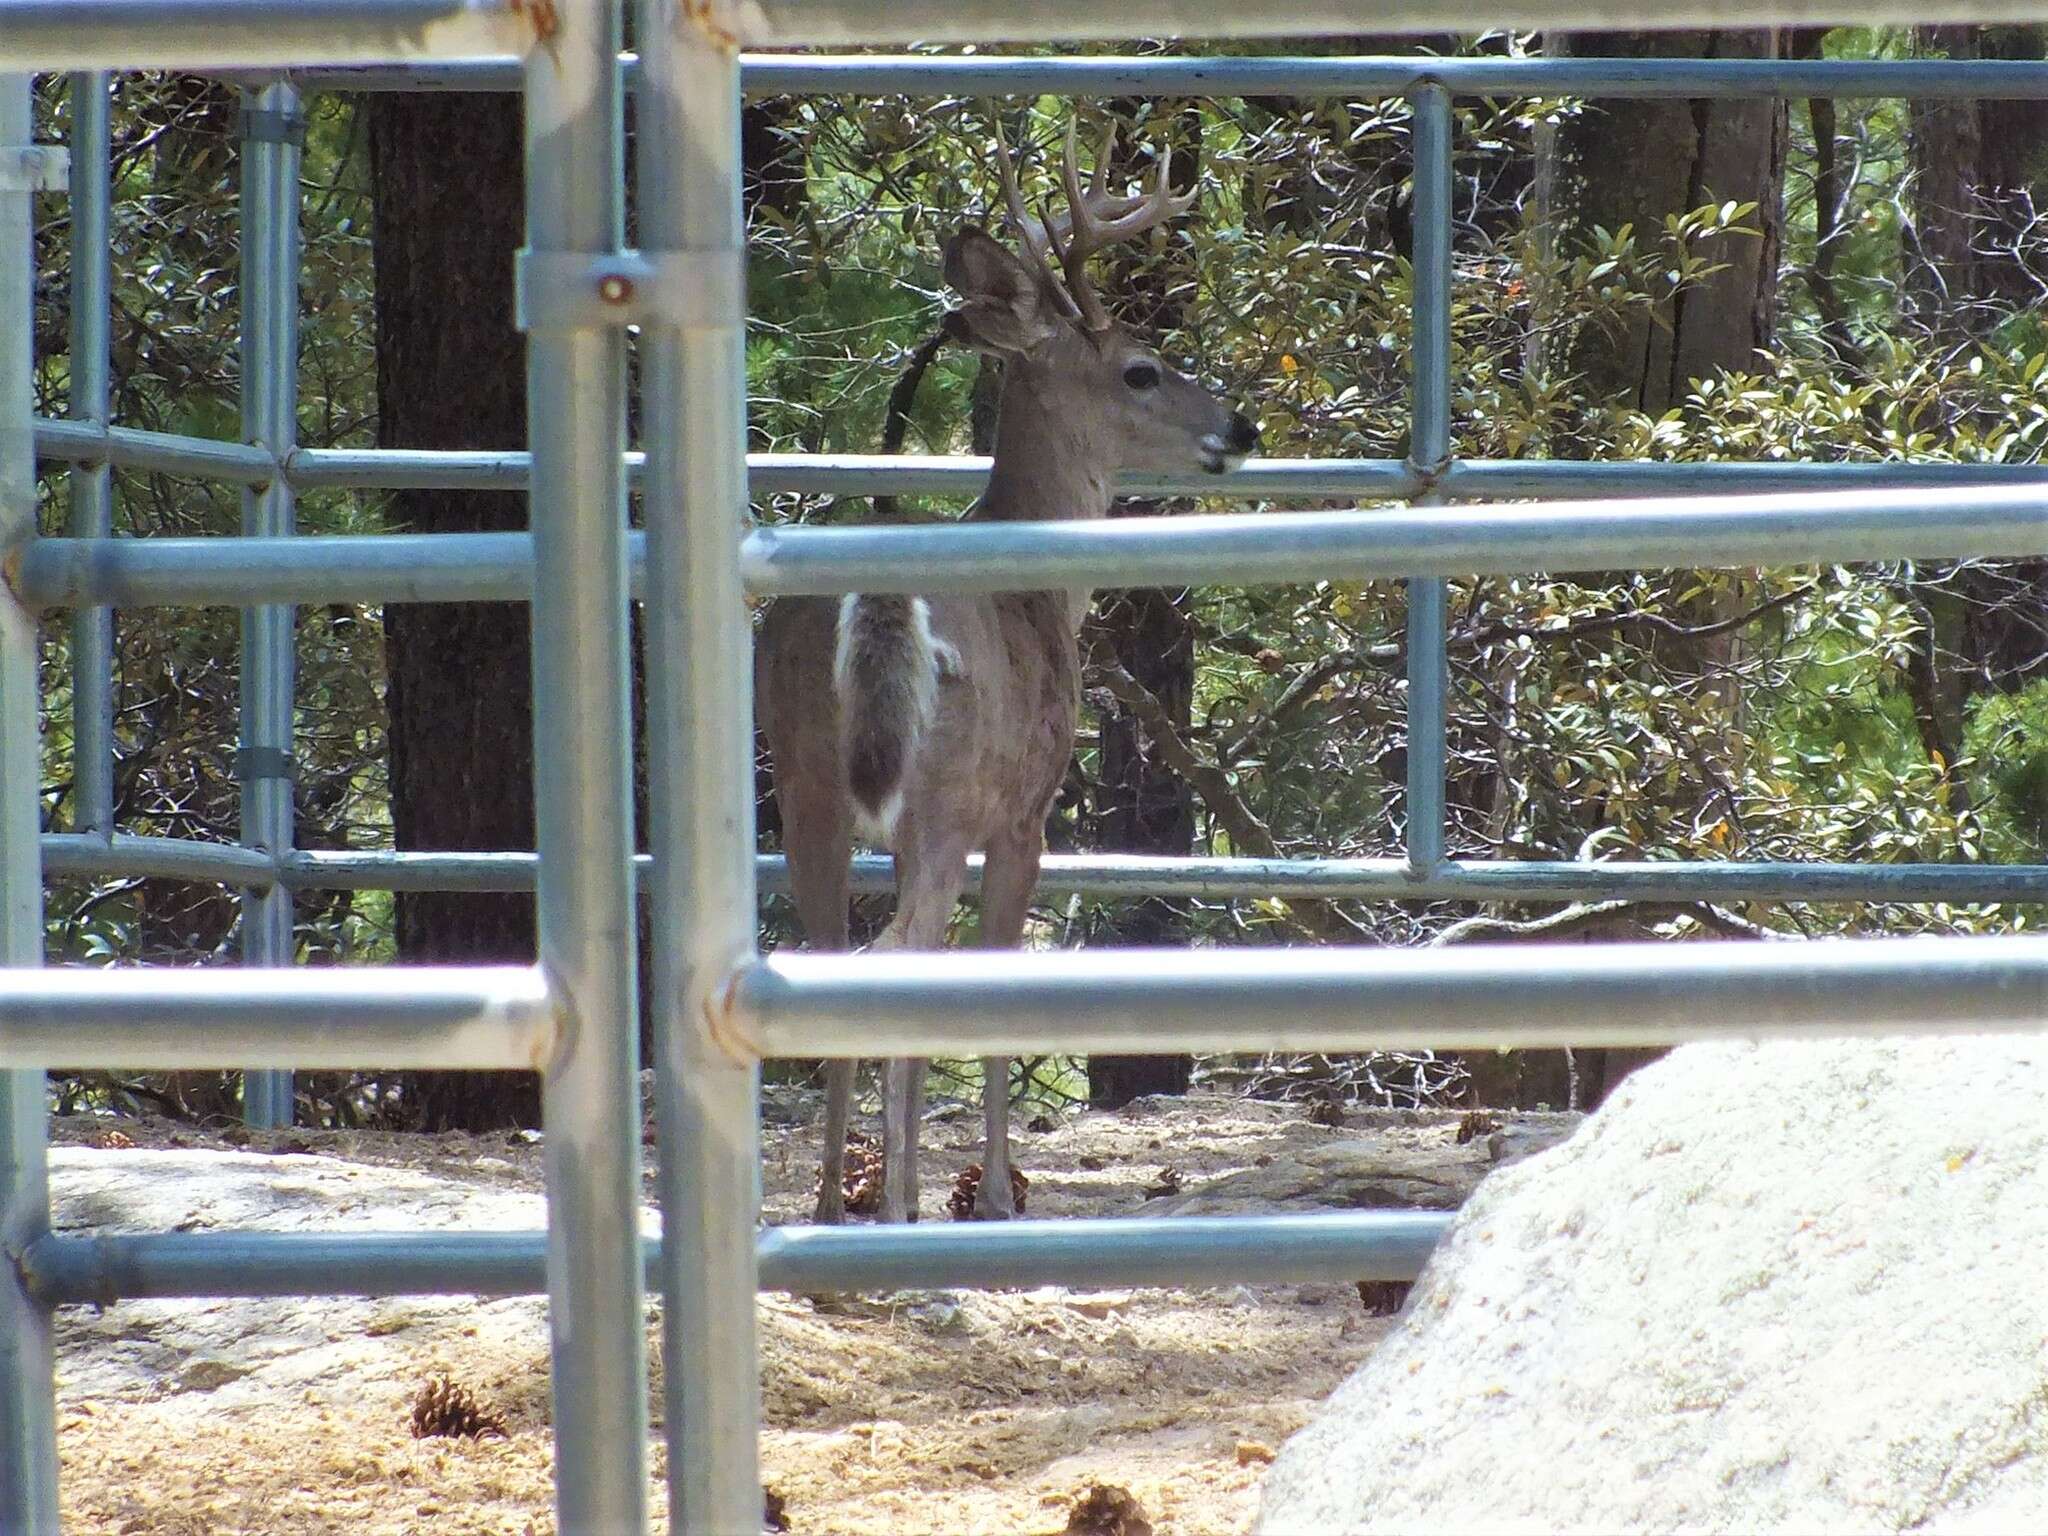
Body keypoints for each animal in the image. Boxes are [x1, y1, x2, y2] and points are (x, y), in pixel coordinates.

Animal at [761, 120, 1253, 1228]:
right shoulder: (1023, 814)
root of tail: (878, 603)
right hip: (946, 791)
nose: (1239, 429)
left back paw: (831, 1206)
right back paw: (896, 1208)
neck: (1044, 591)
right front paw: (989, 1192)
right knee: (897, 958)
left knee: (827, 959)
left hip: (802, 782)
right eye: (1142, 369)